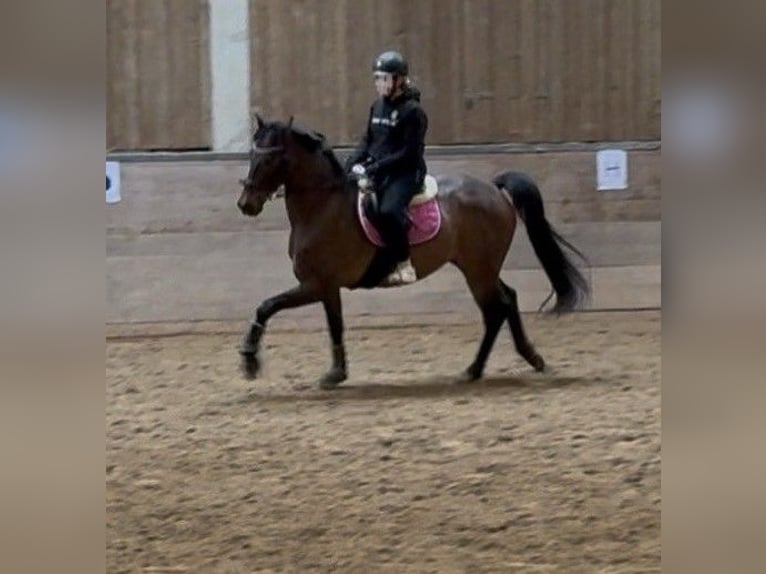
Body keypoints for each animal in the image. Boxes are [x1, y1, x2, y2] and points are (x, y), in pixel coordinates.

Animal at [236, 114, 589, 389]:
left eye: (270, 158)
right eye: (252, 154)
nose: (245, 204)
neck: (323, 205)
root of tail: (493, 187)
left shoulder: (316, 284)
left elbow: (267, 306)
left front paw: (250, 360)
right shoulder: (327, 287)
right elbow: (334, 324)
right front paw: (336, 373)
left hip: (479, 270)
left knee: (496, 308)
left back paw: (480, 368)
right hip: (479, 267)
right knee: (507, 300)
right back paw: (523, 359)